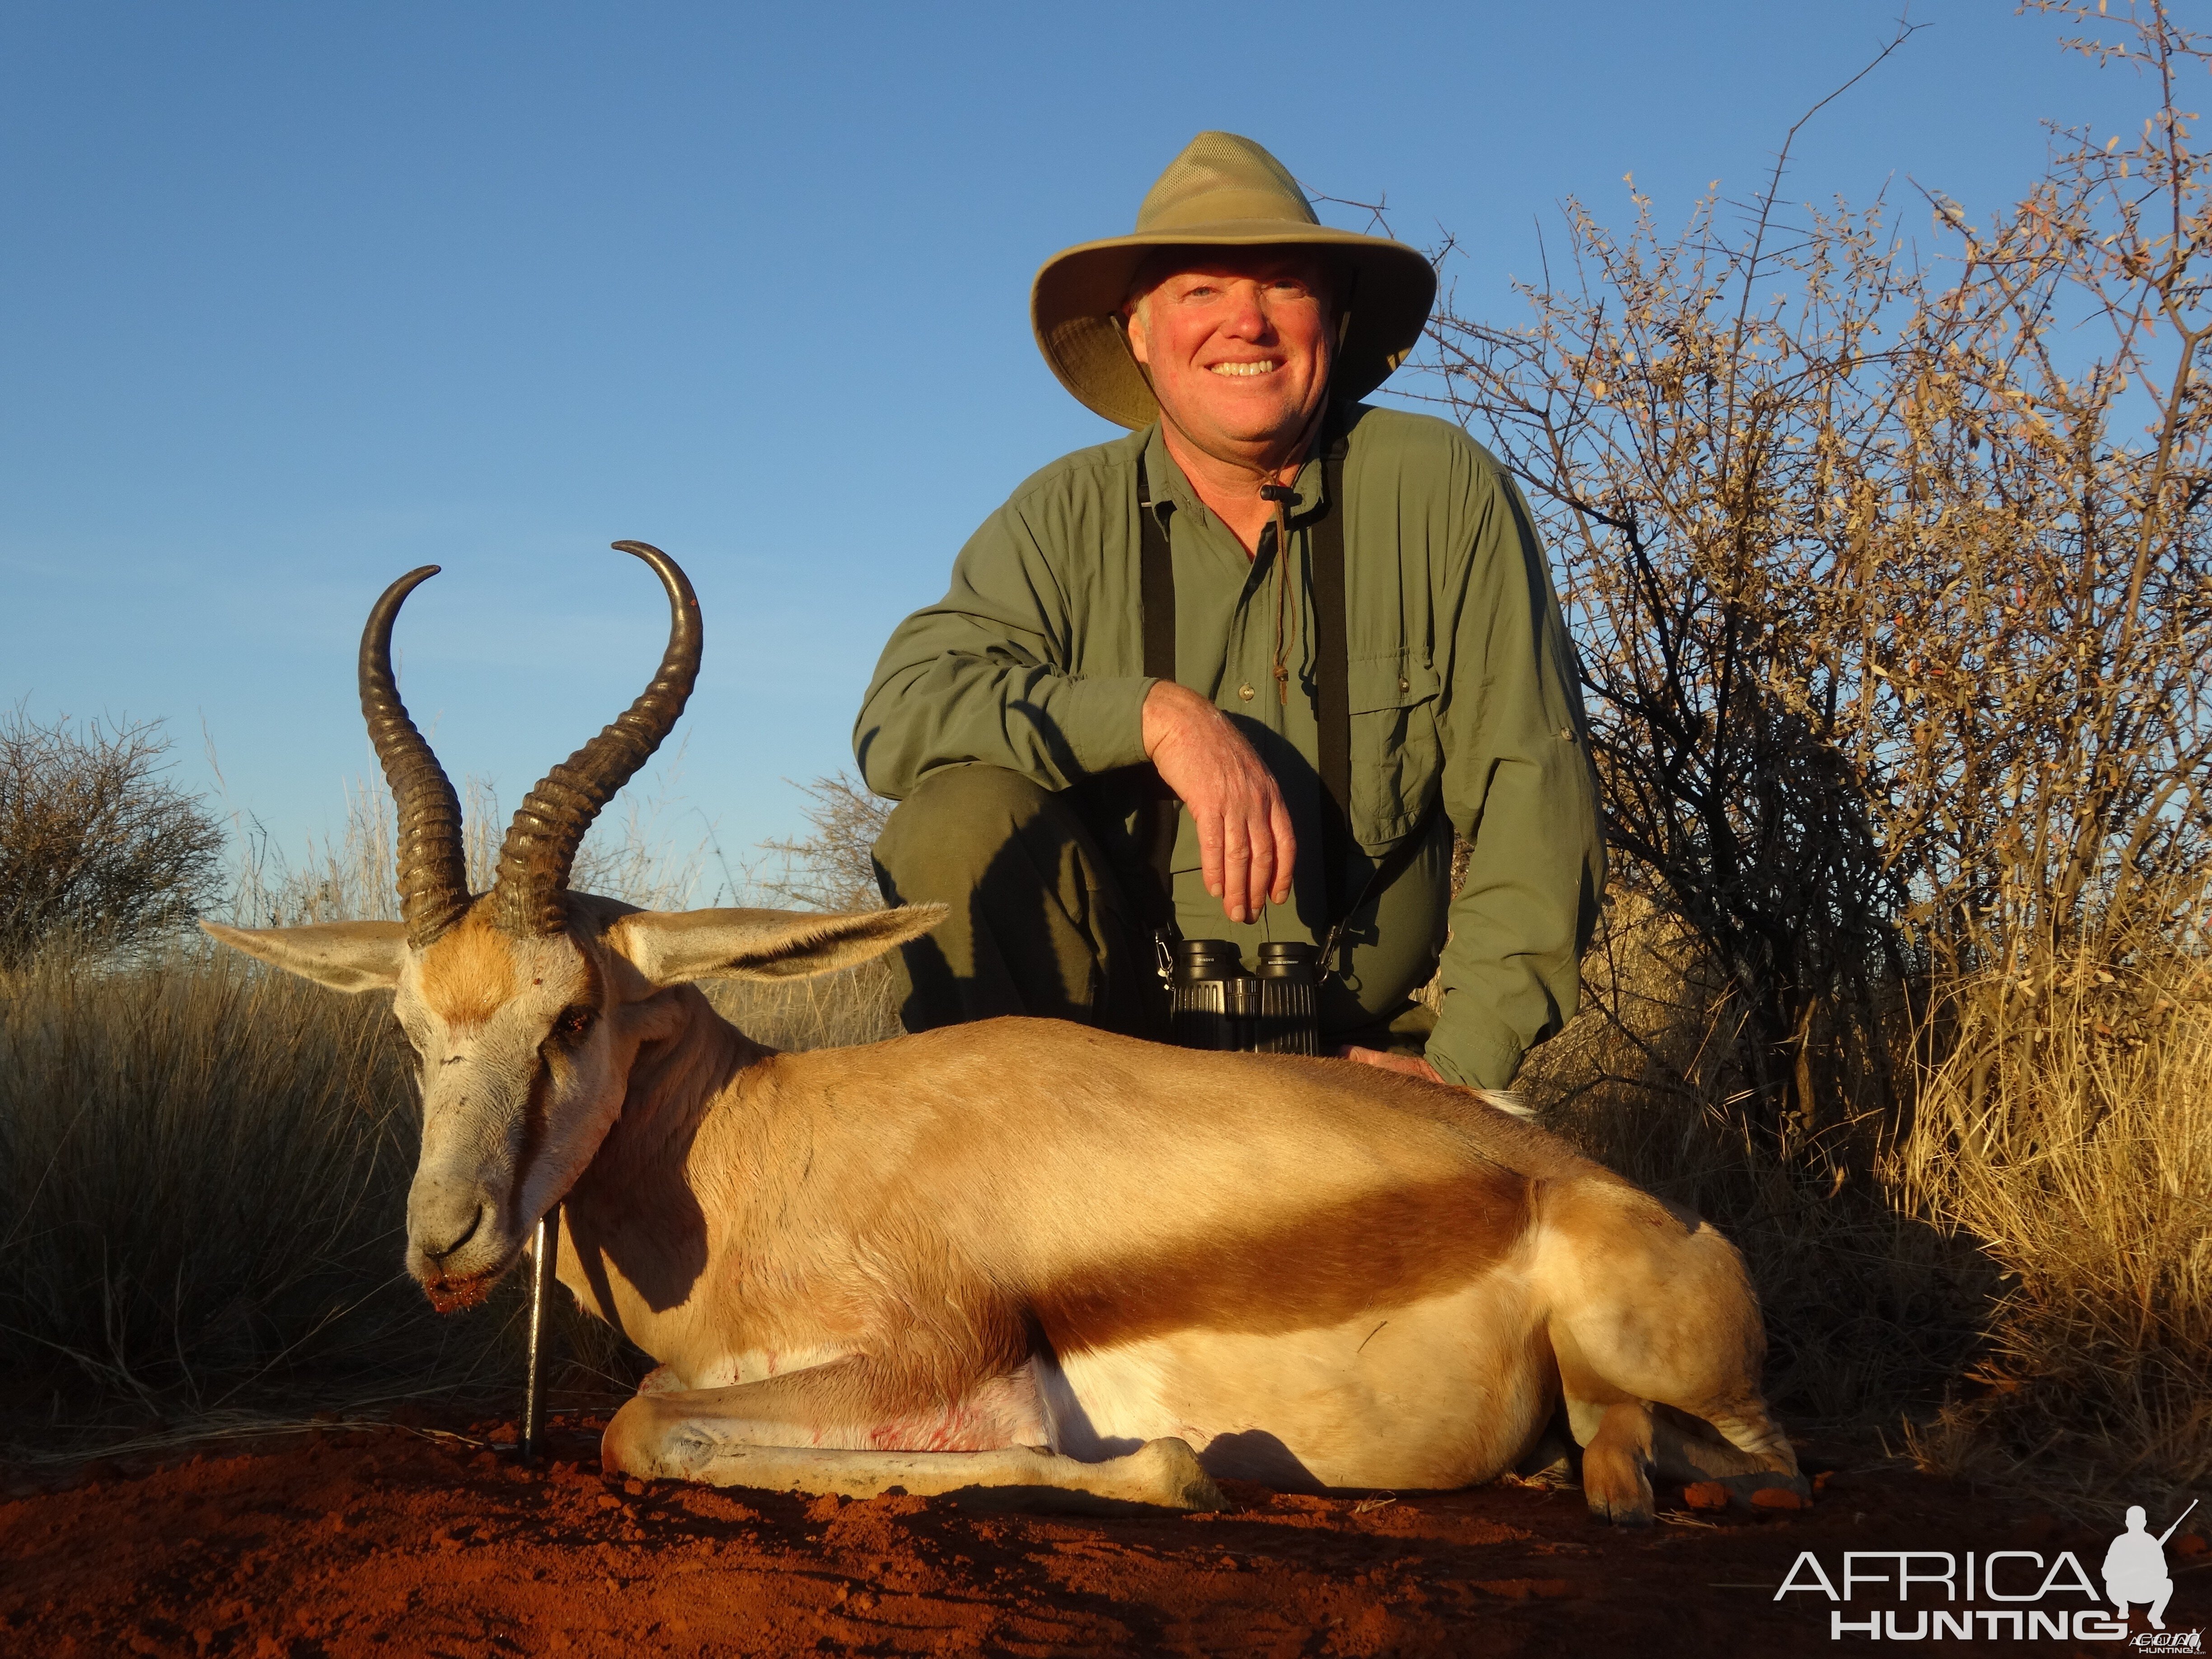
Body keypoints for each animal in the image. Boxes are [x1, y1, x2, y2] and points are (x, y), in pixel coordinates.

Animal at [199, 546, 1805, 1522]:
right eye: (410, 1029)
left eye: (575, 1015)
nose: (446, 1244)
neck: (767, 1153)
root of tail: (1626, 1199)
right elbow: (652, 1413)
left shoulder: (938, 1362)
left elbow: (645, 1423)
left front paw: (1165, 1466)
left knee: (1747, 1469)